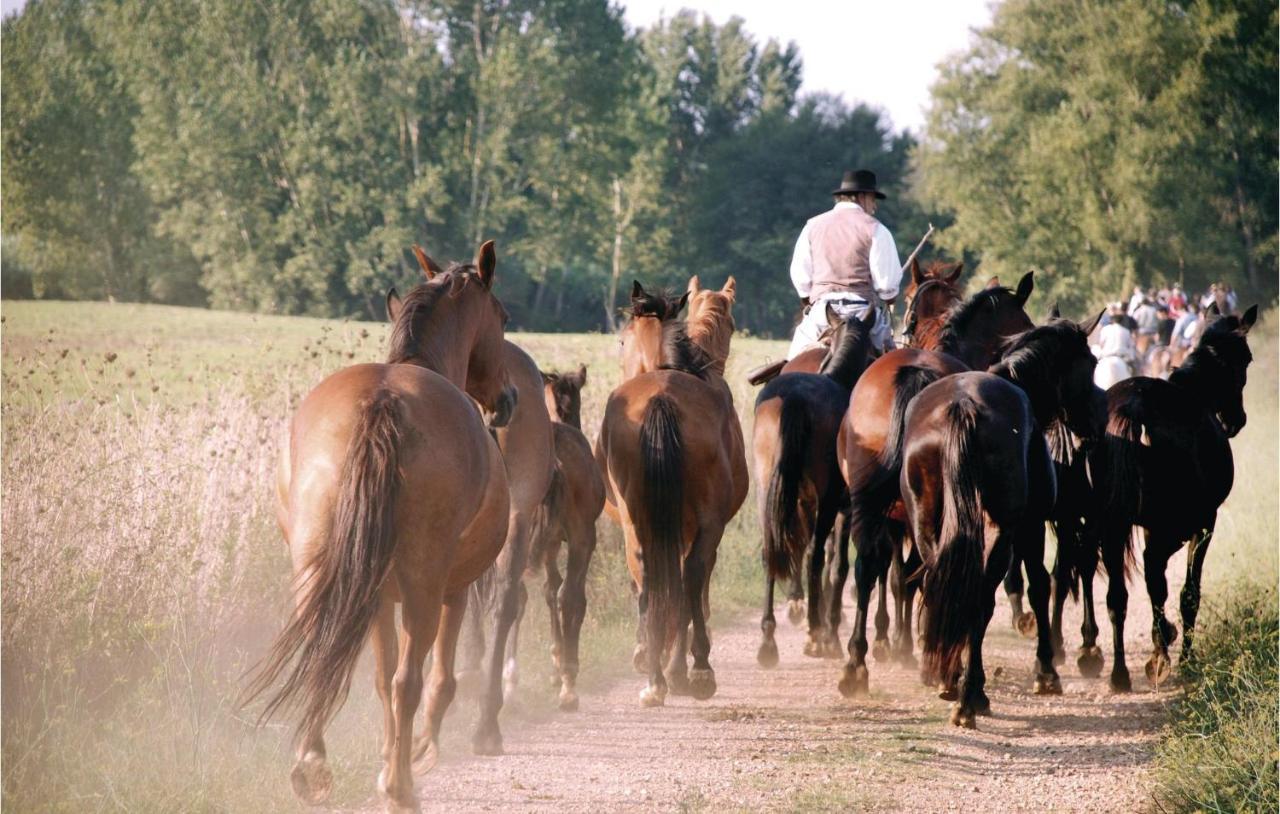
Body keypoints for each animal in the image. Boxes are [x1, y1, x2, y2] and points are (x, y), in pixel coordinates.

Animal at [241, 243, 512, 814]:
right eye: (502, 318)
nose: (508, 399)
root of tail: (383, 402)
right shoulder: (453, 589)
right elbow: (436, 680)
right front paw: (415, 755)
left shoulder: (378, 594)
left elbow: (381, 680)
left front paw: (390, 757)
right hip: (425, 585)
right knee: (413, 679)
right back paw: (401, 788)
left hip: (319, 567)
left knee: (323, 652)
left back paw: (312, 766)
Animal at [596, 277, 747, 706]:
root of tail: (661, 396)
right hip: (702, 524)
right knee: (688, 577)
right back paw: (692, 670)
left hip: (639, 522)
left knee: (652, 574)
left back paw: (657, 677)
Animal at [747, 304, 880, 665]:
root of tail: (794, 399)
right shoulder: (843, 505)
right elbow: (836, 565)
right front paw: (829, 631)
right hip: (825, 499)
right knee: (814, 555)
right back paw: (815, 633)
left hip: (767, 487)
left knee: (772, 549)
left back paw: (768, 640)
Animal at [834, 271, 1034, 691]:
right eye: (1022, 324)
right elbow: (910, 577)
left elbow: (899, 576)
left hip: (870, 503)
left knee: (868, 568)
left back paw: (857, 663)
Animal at [901, 314, 1111, 726]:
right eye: (1092, 362)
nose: (1097, 421)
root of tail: (963, 405)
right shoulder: (1030, 527)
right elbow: (1040, 586)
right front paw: (1046, 672)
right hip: (1002, 528)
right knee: (980, 596)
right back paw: (970, 696)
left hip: (927, 524)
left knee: (944, 583)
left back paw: (949, 678)